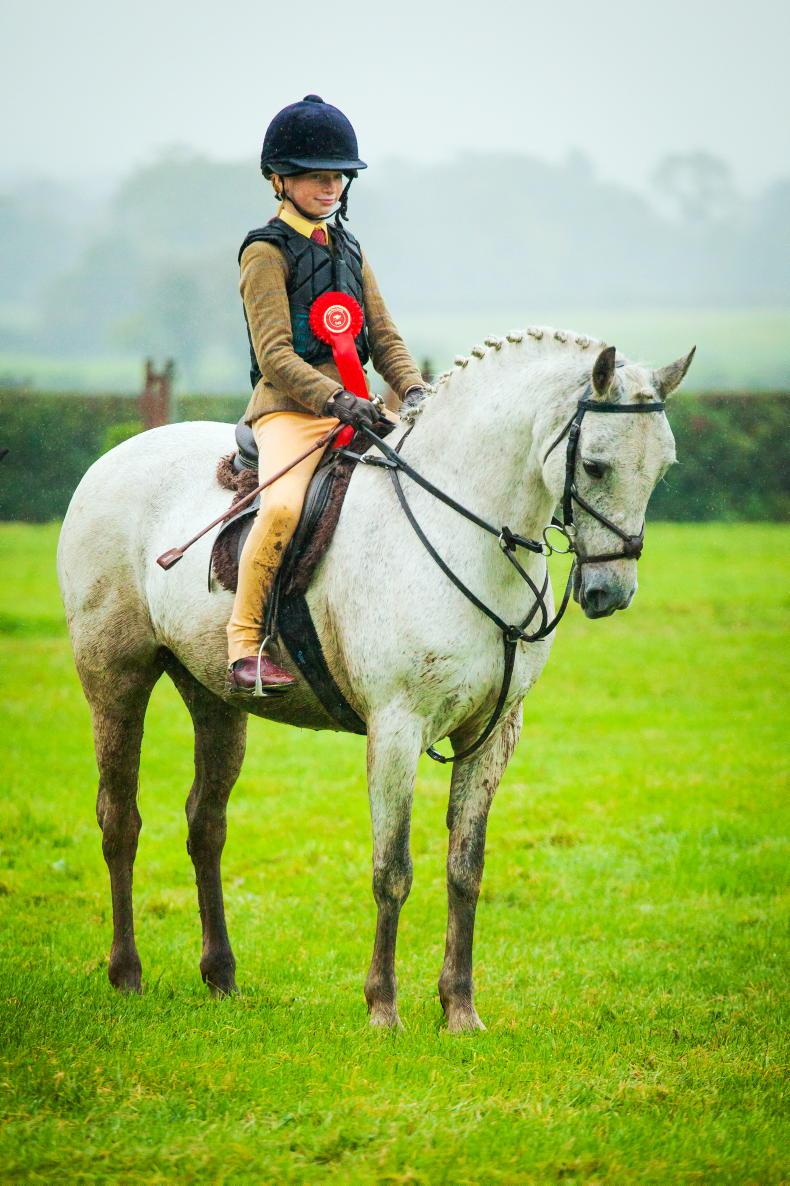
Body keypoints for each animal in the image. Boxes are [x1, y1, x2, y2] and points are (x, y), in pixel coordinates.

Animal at [56, 328, 693, 1031]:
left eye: (663, 468)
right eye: (597, 466)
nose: (611, 592)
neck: (462, 529)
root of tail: (113, 459)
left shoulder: (494, 734)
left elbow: (464, 868)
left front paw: (460, 1010)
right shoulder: (395, 729)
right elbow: (393, 869)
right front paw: (383, 1008)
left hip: (215, 697)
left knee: (206, 825)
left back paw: (220, 976)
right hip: (115, 680)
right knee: (120, 820)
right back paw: (126, 974)